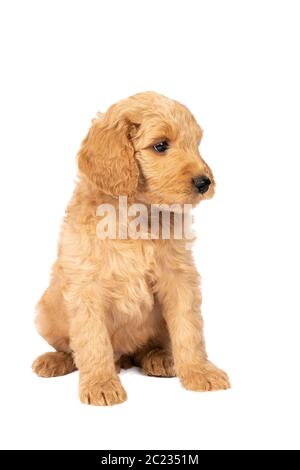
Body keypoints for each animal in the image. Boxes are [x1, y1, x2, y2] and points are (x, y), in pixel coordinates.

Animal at [32, 91, 230, 404]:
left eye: (196, 143)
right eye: (160, 145)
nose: (204, 182)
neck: (135, 212)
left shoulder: (179, 278)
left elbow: (189, 329)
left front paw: (200, 372)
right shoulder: (86, 285)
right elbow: (92, 339)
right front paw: (101, 384)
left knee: (148, 348)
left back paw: (160, 358)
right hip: (45, 311)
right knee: (70, 347)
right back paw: (56, 360)